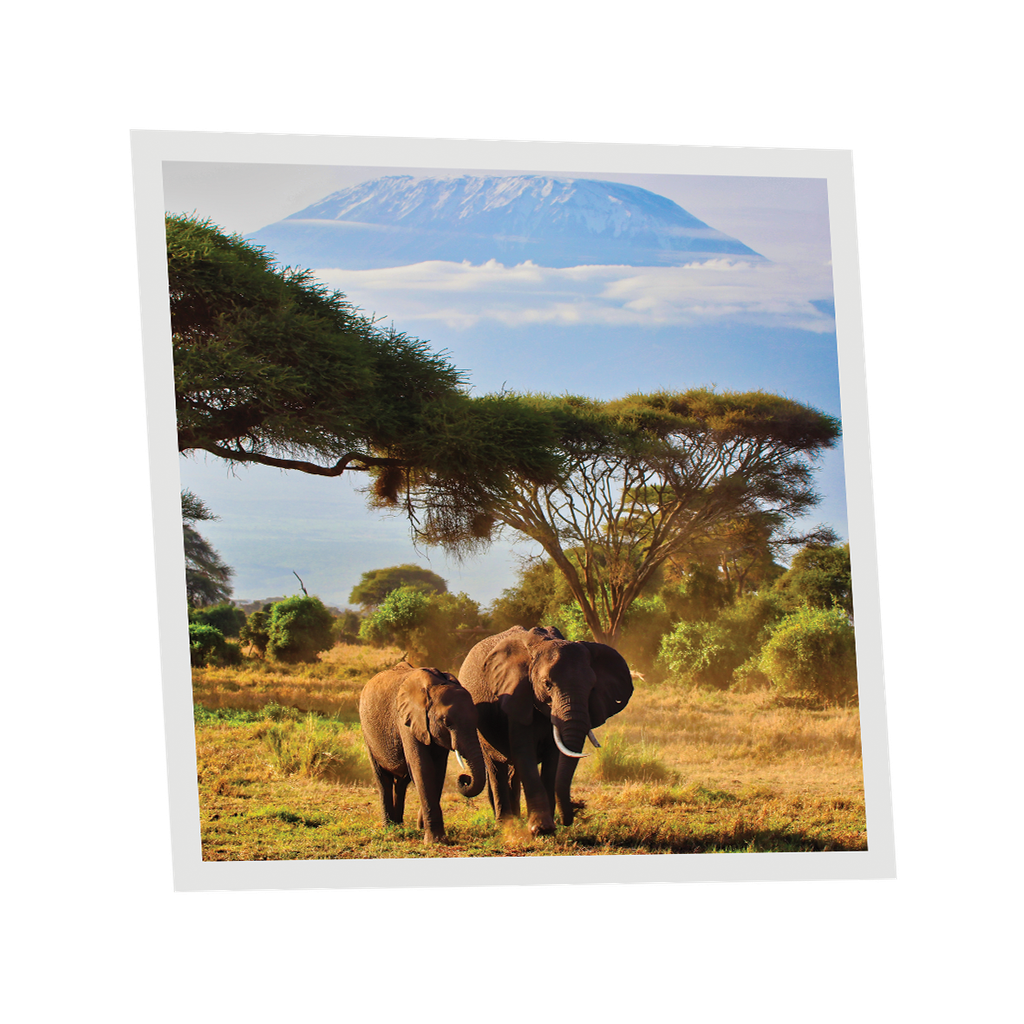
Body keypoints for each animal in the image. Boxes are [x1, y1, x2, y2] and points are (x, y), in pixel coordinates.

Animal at [359, 661, 486, 844]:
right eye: (447, 722)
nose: (464, 778)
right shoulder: (406, 720)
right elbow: (423, 768)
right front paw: (435, 841)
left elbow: (438, 771)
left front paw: (424, 828)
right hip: (368, 734)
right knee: (383, 778)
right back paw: (389, 828)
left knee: (402, 782)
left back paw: (399, 825)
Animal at [458, 626, 634, 836]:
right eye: (547, 685)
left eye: (592, 687)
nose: (576, 810)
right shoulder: (516, 695)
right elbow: (525, 754)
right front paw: (541, 829)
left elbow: (553, 760)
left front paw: (549, 828)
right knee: (495, 767)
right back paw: (504, 824)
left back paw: (516, 819)